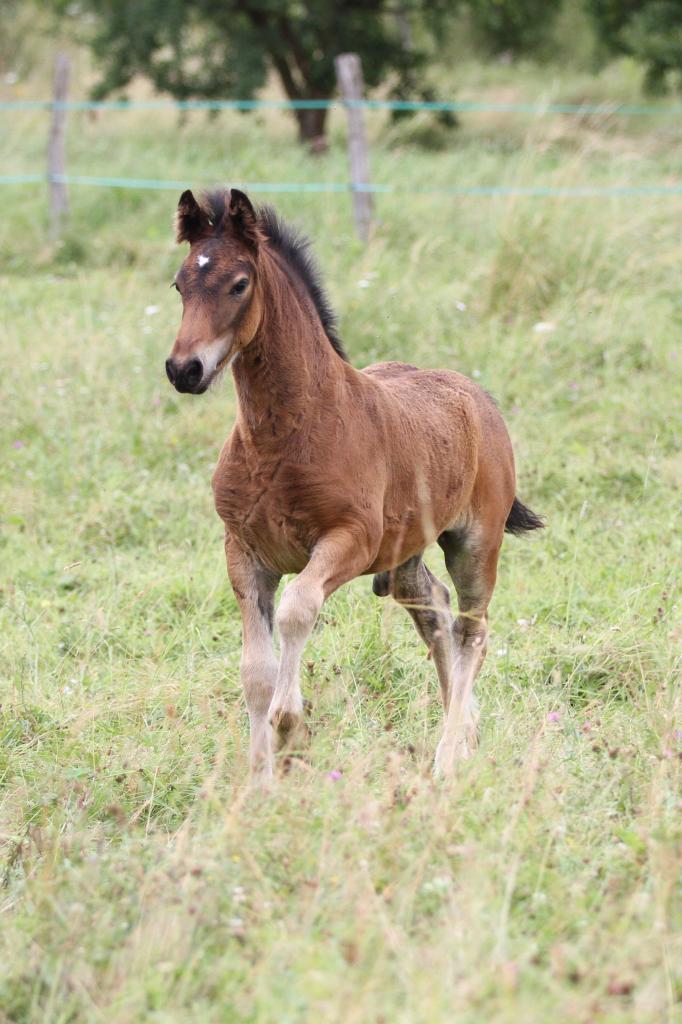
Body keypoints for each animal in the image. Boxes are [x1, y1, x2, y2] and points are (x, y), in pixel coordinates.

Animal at [165, 188, 540, 778]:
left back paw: (448, 756)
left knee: (471, 631)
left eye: (239, 284)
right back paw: (468, 734)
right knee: (433, 613)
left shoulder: (350, 540)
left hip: (476, 542)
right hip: (405, 554)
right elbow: (254, 672)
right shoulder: (244, 554)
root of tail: (480, 397)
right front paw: (260, 777)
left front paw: (290, 728)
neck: (287, 435)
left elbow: (298, 607)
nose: (184, 369)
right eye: (180, 284)